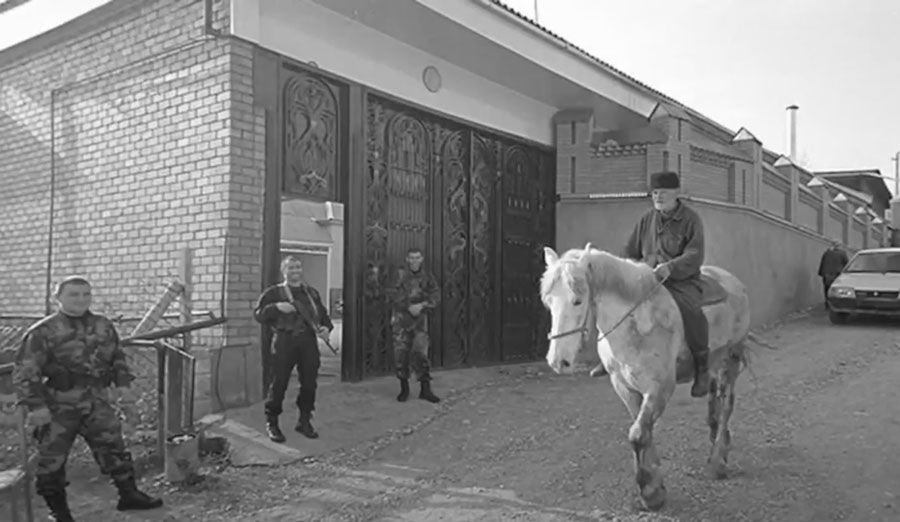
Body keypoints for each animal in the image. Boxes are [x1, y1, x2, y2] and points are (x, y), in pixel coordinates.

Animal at [540, 243, 759, 511]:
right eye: (549, 302)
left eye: (577, 301)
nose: (557, 361)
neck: (637, 325)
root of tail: (733, 282)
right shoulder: (624, 387)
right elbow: (643, 429)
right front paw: (655, 485)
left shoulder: (659, 388)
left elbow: (637, 434)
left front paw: (650, 492)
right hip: (716, 363)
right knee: (714, 400)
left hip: (731, 360)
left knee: (726, 404)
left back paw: (718, 460)